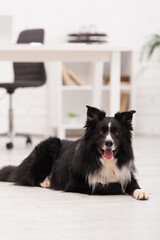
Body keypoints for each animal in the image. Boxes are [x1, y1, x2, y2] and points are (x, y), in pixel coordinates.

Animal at [0, 106, 149, 200]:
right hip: (49, 145)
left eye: (117, 133)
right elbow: (112, 186)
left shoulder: (125, 173)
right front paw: (121, 188)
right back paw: (47, 181)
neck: (104, 160)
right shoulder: (79, 183)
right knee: (30, 177)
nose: (109, 143)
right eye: (101, 132)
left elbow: (132, 183)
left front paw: (140, 192)